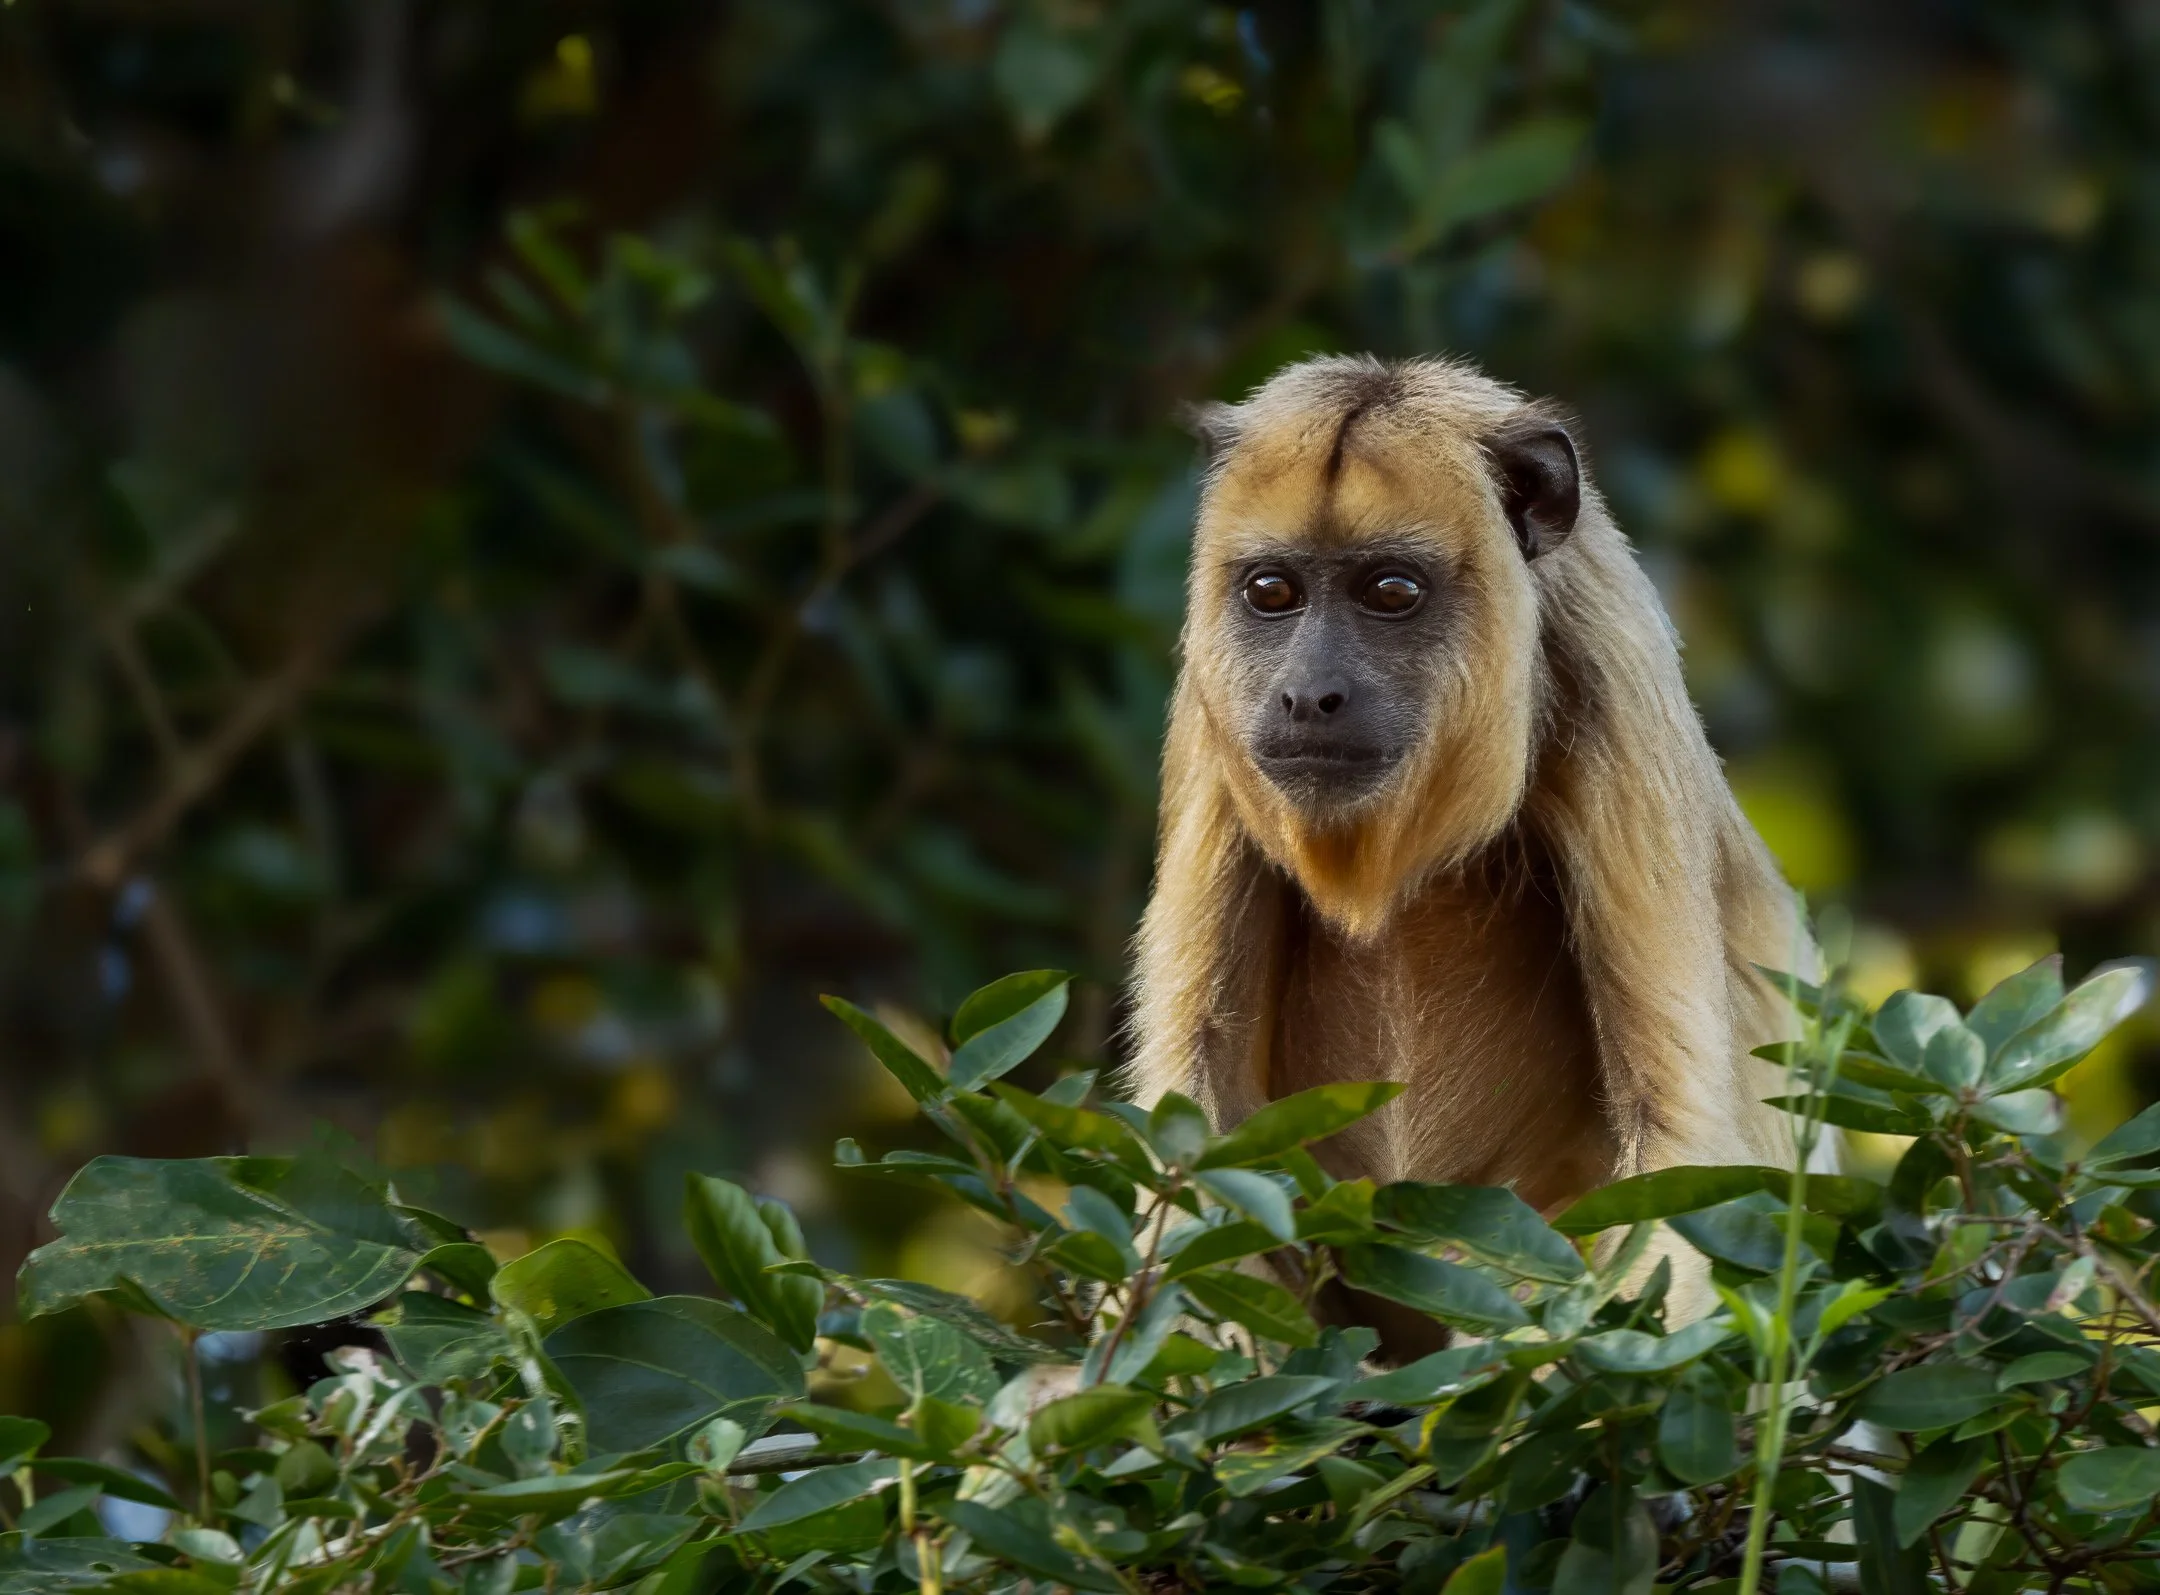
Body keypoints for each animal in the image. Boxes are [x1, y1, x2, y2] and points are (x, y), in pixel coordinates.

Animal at [1126, 354, 1816, 1334]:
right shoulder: (1210, 721)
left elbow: (1674, 1139)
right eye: (1272, 593)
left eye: (1391, 593)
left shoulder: (1614, 679)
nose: (1307, 695)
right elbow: (1197, 1107)